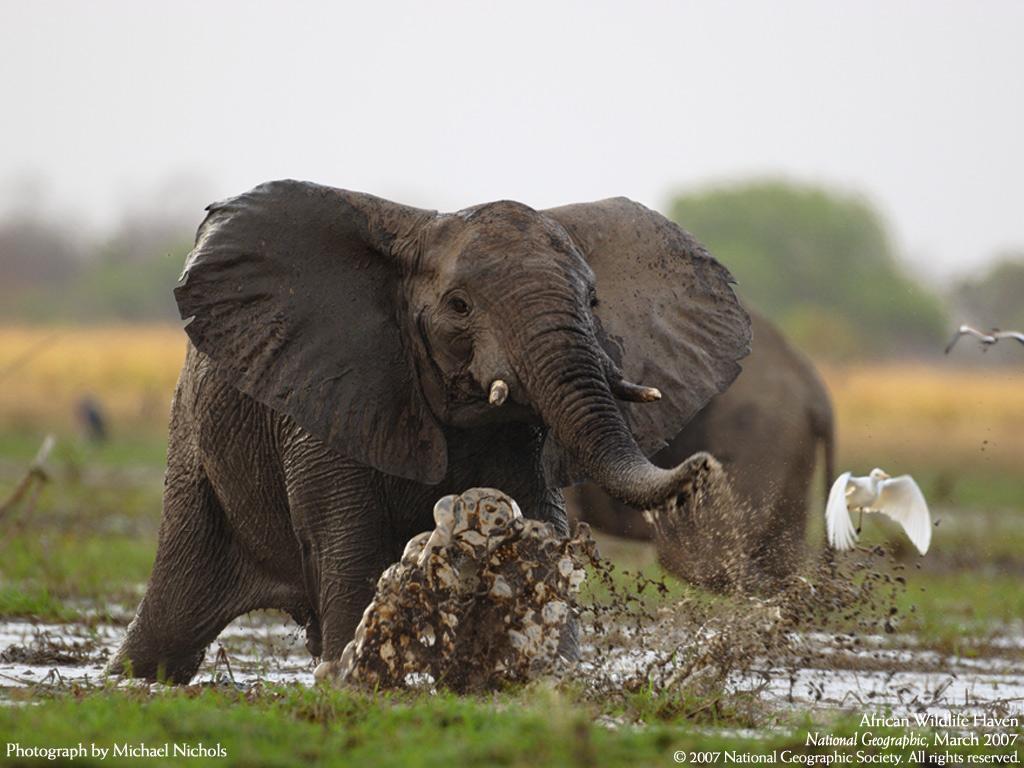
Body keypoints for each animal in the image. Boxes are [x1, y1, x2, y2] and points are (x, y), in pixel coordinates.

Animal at [110, 182, 753, 684]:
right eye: (460, 305)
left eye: (594, 301)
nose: (704, 469)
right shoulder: (329, 393)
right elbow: (351, 542)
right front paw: (352, 675)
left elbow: (538, 529)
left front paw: (546, 672)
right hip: (194, 449)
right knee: (172, 616)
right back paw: (129, 677)